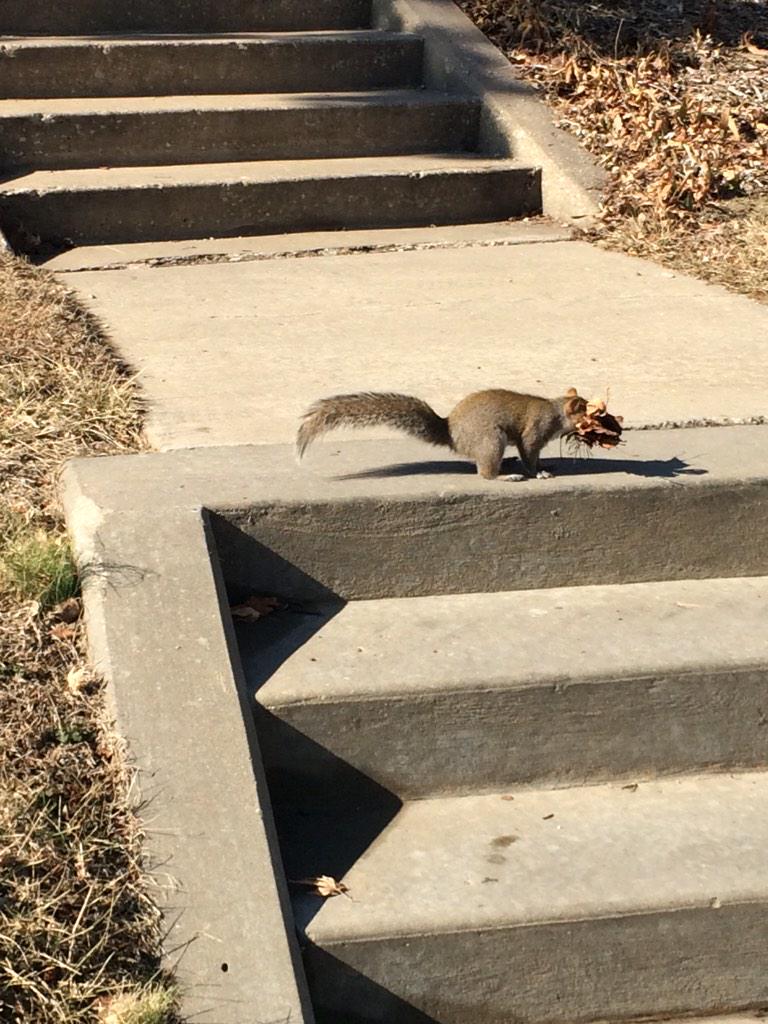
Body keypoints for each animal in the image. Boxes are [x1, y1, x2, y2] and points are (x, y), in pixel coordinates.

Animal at [297, 388, 590, 481]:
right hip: (490, 439)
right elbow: (528, 452)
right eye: (588, 413)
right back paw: (506, 475)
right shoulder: (534, 431)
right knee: (484, 473)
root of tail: (451, 432)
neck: (556, 412)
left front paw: (545, 465)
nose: (599, 418)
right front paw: (538, 472)